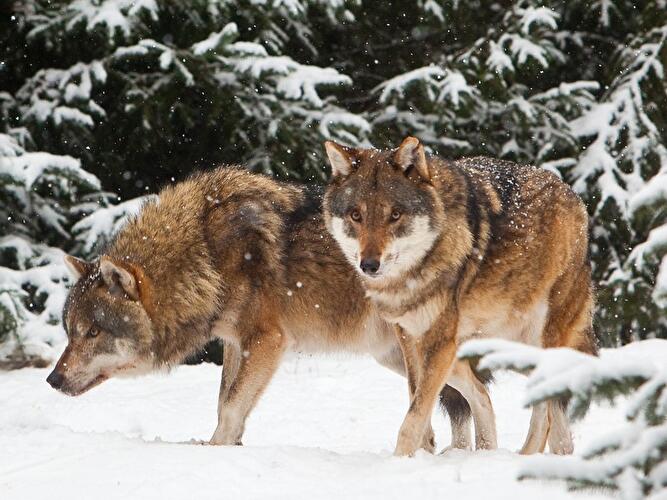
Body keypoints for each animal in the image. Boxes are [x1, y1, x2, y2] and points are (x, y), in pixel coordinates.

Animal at [47, 166, 490, 451]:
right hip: (397, 357)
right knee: (470, 395)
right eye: (70, 331)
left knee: (468, 395)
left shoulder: (266, 341)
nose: (52, 379)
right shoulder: (234, 344)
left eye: (93, 332)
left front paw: (215, 451)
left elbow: (230, 406)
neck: (205, 254)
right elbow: (226, 402)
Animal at [322, 137, 597, 457]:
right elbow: (418, 402)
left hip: (535, 338)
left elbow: (413, 418)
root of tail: (575, 198)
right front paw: (421, 456)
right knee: (491, 393)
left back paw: (529, 455)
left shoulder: (439, 341)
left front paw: (401, 460)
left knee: (546, 403)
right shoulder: (410, 337)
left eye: (395, 215)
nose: (369, 265)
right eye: (356, 215)